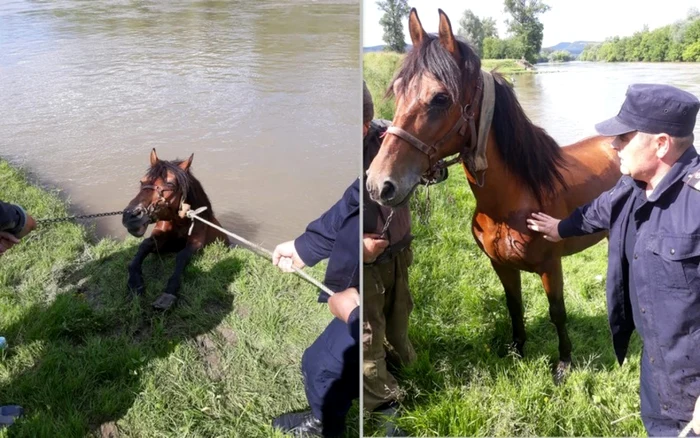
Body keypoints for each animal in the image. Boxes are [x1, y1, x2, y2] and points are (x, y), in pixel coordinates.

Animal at [121, 151, 228, 312]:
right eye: (142, 181)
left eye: (170, 184)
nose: (131, 216)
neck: (181, 222)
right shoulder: (160, 243)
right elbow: (143, 246)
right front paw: (135, 282)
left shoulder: (195, 244)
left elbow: (181, 256)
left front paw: (168, 293)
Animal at [364, 9, 620, 380]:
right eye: (397, 90)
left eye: (440, 98)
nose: (379, 183)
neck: (514, 201)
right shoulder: (500, 265)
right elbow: (514, 306)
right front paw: (517, 350)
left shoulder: (550, 266)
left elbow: (557, 312)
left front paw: (564, 363)